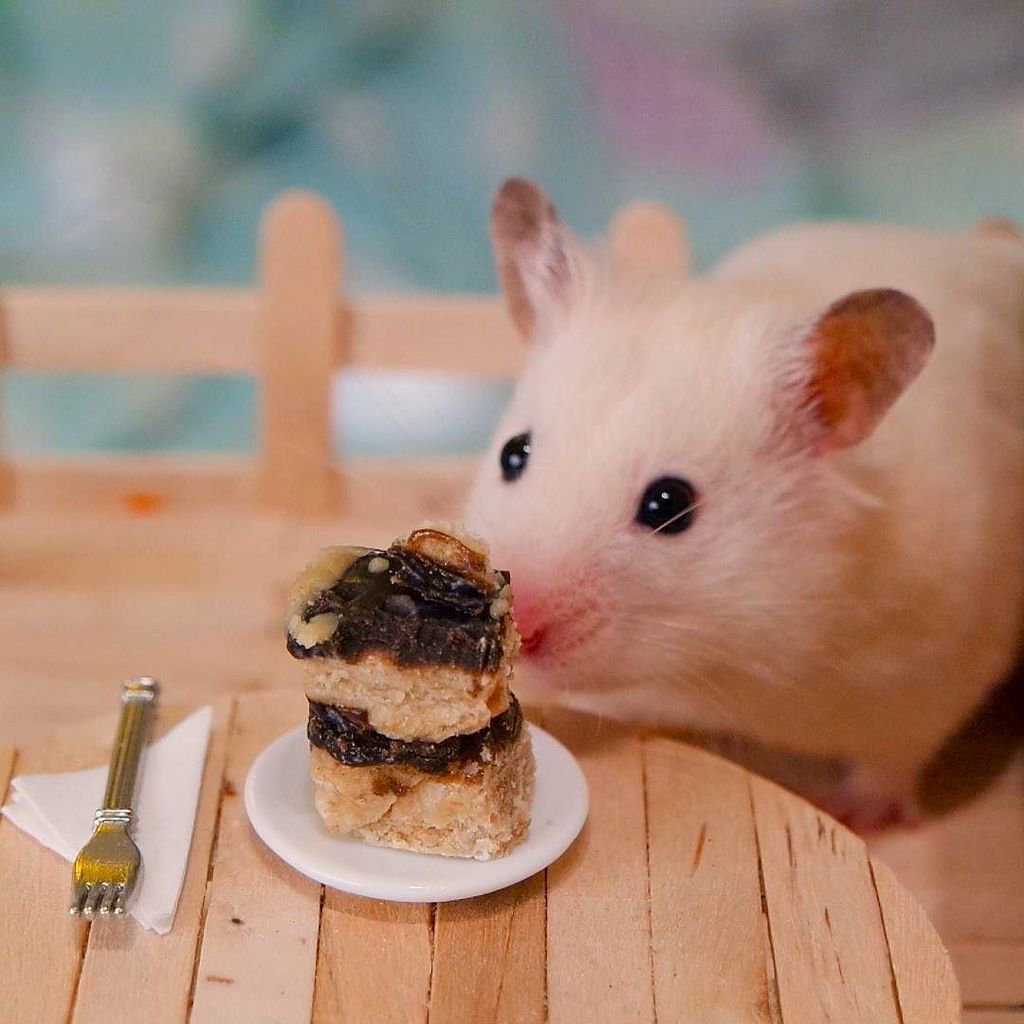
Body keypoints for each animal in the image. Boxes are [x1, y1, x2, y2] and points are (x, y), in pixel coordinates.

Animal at [464, 176, 1024, 831]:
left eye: (668, 505)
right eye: (513, 454)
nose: (520, 624)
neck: (732, 658)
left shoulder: (934, 675)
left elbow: (891, 760)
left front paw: (853, 817)